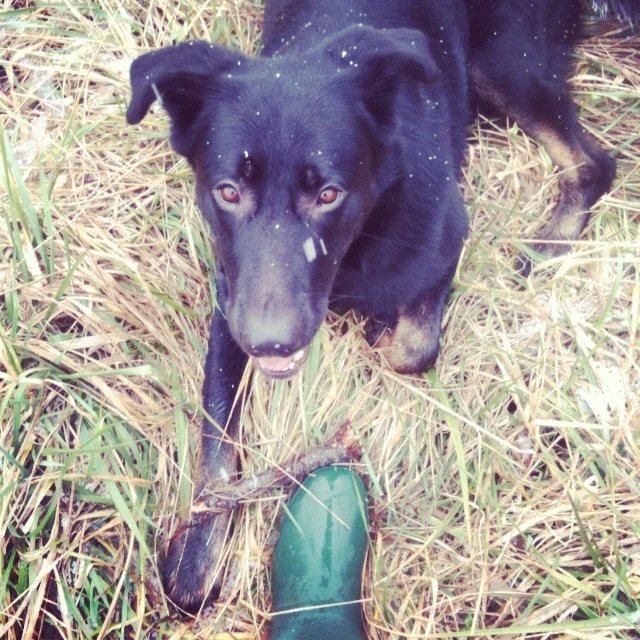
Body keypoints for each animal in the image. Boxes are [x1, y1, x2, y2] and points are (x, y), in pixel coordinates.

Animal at [127, 0, 638, 613]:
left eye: (329, 194)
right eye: (228, 191)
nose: (273, 342)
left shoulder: (447, 237)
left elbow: (413, 348)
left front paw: (377, 333)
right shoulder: (231, 305)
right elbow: (218, 438)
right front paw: (199, 554)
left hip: (505, 62)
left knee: (594, 163)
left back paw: (548, 244)